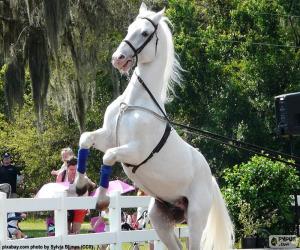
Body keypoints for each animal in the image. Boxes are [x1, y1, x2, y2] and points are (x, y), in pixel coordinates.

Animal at [75, 2, 234, 249]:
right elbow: (86, 138)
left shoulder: (134, 150)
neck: (133, 104)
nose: (118, 58)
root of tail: (210, 179)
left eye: (145, 33)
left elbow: (108, 156)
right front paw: (81, 185)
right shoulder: (108, 137)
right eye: (129, 28)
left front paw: (101, 199)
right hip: (160, 219)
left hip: (196, 219)